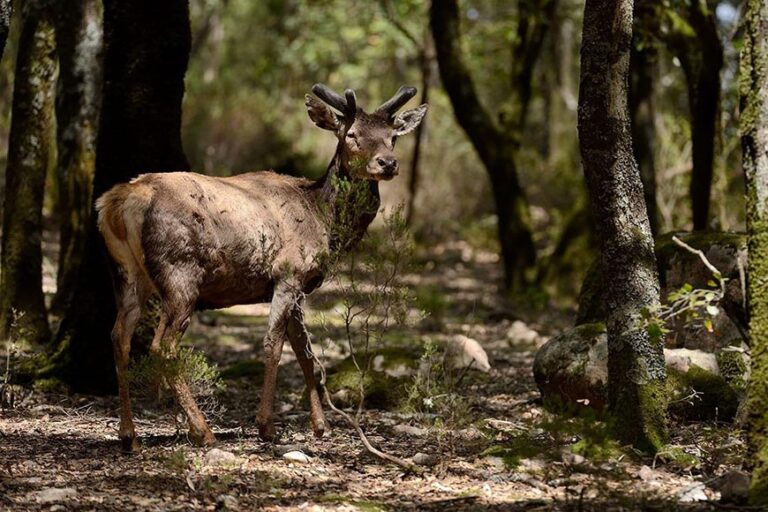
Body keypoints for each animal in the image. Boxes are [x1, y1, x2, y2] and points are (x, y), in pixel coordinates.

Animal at [97, 85, 426, 452]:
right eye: (351, 134)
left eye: (392, 137)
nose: (388, 163)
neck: (322, 218)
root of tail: (119, 202)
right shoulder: (289, 272)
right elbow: (274, 345)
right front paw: (266, 426)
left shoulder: (299, 286)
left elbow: (305, 350)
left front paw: (320, 425)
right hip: (180, 273)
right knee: (162, 346)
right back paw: (202, 430)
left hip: (125, 273)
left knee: (119, 336)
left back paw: (129, 435)